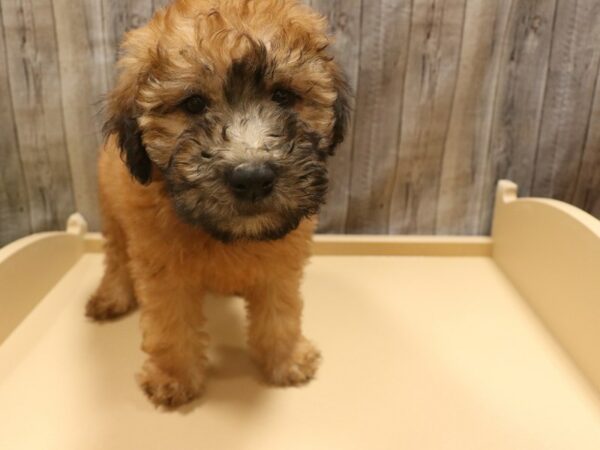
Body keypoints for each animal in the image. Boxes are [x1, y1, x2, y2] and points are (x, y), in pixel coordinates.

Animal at [86, 0, 350, 408]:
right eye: (194, 104)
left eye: (283, 96)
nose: (252, 178)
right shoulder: (163, 268)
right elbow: (171, 324)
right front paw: (174, 377)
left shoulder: (280, 265)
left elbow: (281, 313)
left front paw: (286, 358)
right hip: (111, 211)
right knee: (115, 257)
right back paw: (111, 295)